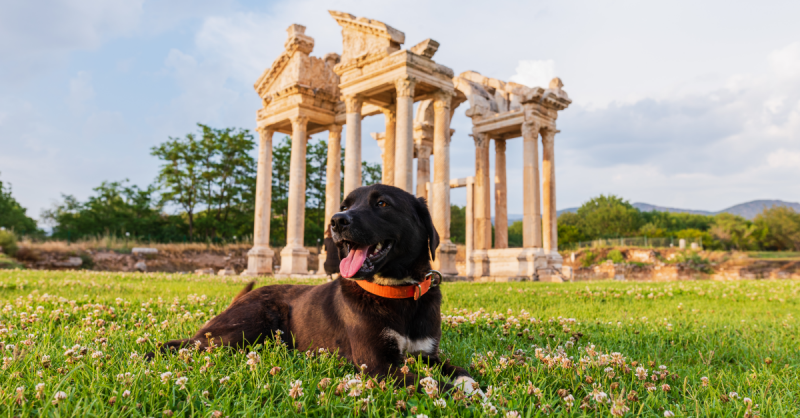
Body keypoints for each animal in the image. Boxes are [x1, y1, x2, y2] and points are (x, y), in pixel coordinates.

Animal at [152, 185, 482, 396]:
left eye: (382, 204)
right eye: (346, 205)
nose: (336, 220)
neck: (397, 293)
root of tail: (244, 296)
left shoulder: (427, 355)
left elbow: (459, 371)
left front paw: (471, 385)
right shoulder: (376, 364)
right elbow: (435, 385)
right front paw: (472, 397)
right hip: (241, 330)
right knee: (183, 344)